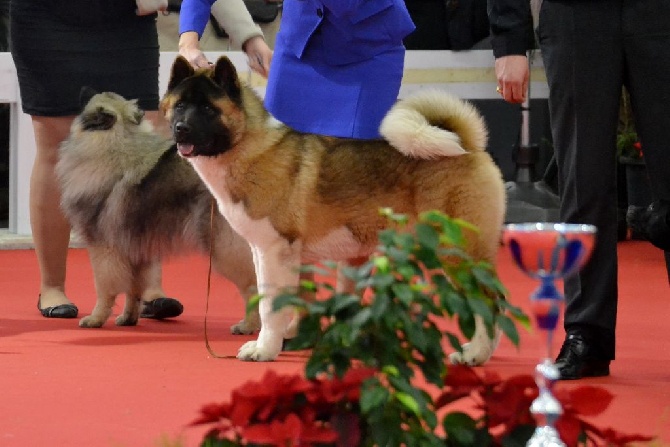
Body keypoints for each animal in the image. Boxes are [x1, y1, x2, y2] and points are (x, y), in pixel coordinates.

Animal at [55, 87, 258, 332]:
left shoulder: (103, 248)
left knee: (254, 287)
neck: (116, 143)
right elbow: (133, 289)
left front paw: (95, 319)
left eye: (89, 99)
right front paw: (128, 318)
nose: (83, 89)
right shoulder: (135, 251)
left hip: (224, 248)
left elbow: (105, 288)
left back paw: (248, 326)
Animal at [163, 57, 506, 364]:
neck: (249, 146)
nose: (181, 129)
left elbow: (270, 307)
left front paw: (264, 350)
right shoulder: (263, 251)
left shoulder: (277, 250)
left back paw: (474, 354)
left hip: (458, 252)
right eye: (180, 106)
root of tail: (468, 146)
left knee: (490, 302)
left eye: (209, 109)